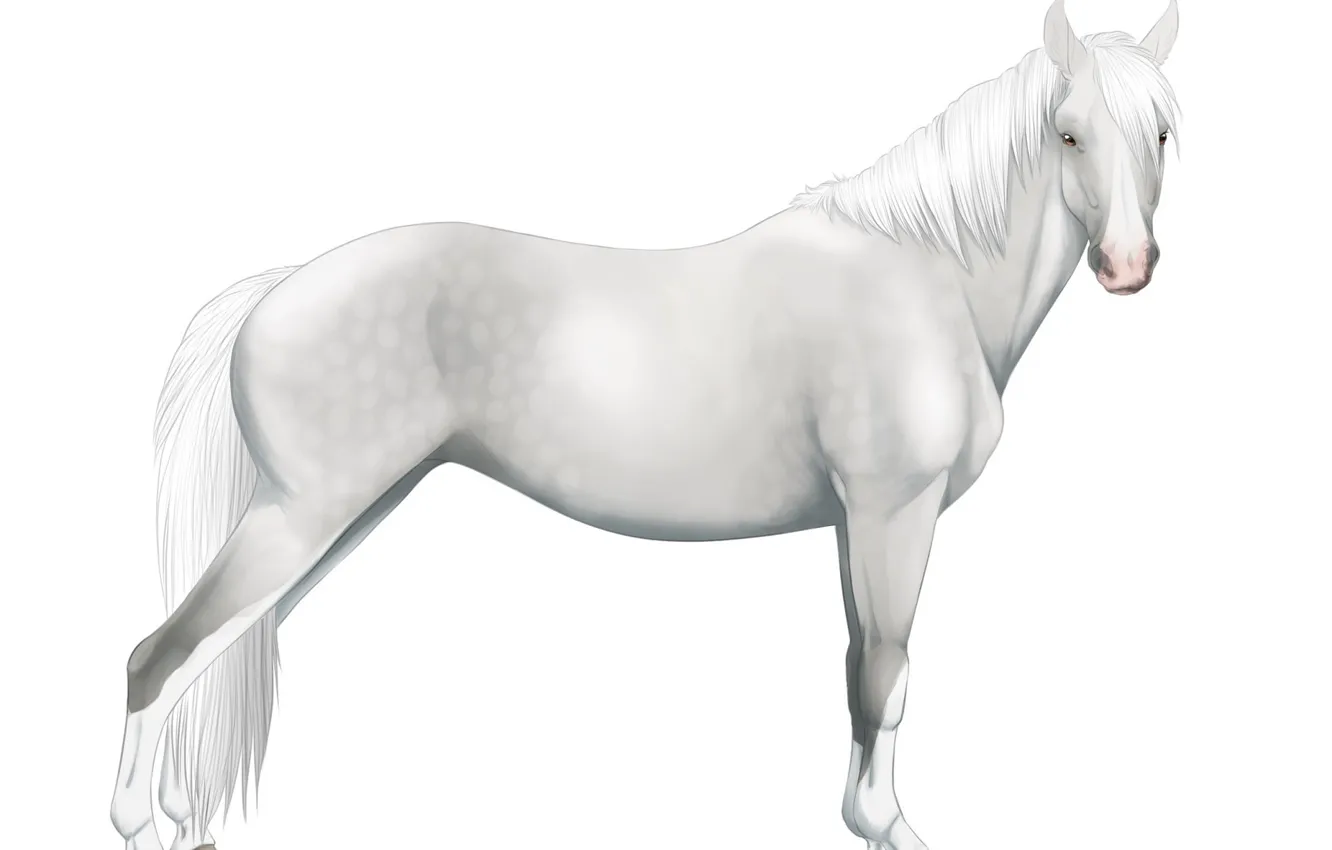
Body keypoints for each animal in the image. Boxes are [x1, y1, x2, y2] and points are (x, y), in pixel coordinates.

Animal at [109, 2, 1184, 848]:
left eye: (1165, 132)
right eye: (1068, 133)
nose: (1130, 265)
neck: (924, 279)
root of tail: (276, 288)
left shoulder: (855, 525)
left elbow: (858, 672)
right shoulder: (895, 513)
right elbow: (888, 675)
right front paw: (886, 826)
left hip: (344, 517)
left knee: (218, 655)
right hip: (306, 516)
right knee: (161, 662)